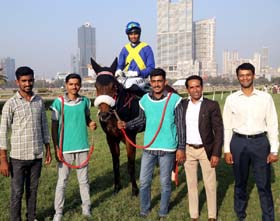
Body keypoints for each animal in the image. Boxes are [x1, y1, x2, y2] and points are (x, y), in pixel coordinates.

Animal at [91, 57, 141, 196]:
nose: (104, 114)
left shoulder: (130, 137)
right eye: (96, 86)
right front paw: (116, 187)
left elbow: (130, 165)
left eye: (113, 86)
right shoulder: (111, 138)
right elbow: (115, 164)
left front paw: (134, 189)